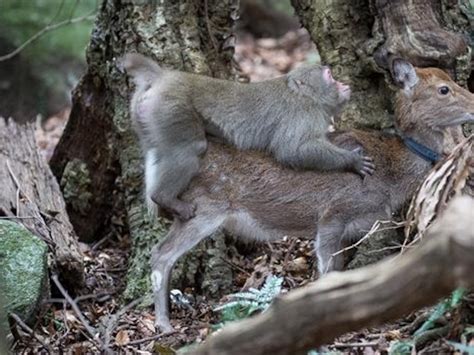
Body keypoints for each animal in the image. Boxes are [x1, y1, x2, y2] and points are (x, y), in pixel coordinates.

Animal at [149, 57, 474, 330]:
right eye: (444, 89)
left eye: (450, 80)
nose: (473, 103)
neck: (388, 177)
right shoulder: (333, 213)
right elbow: (326, 271)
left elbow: (340, 273)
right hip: (205, 207)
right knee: (161, 253)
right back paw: (164, 325)